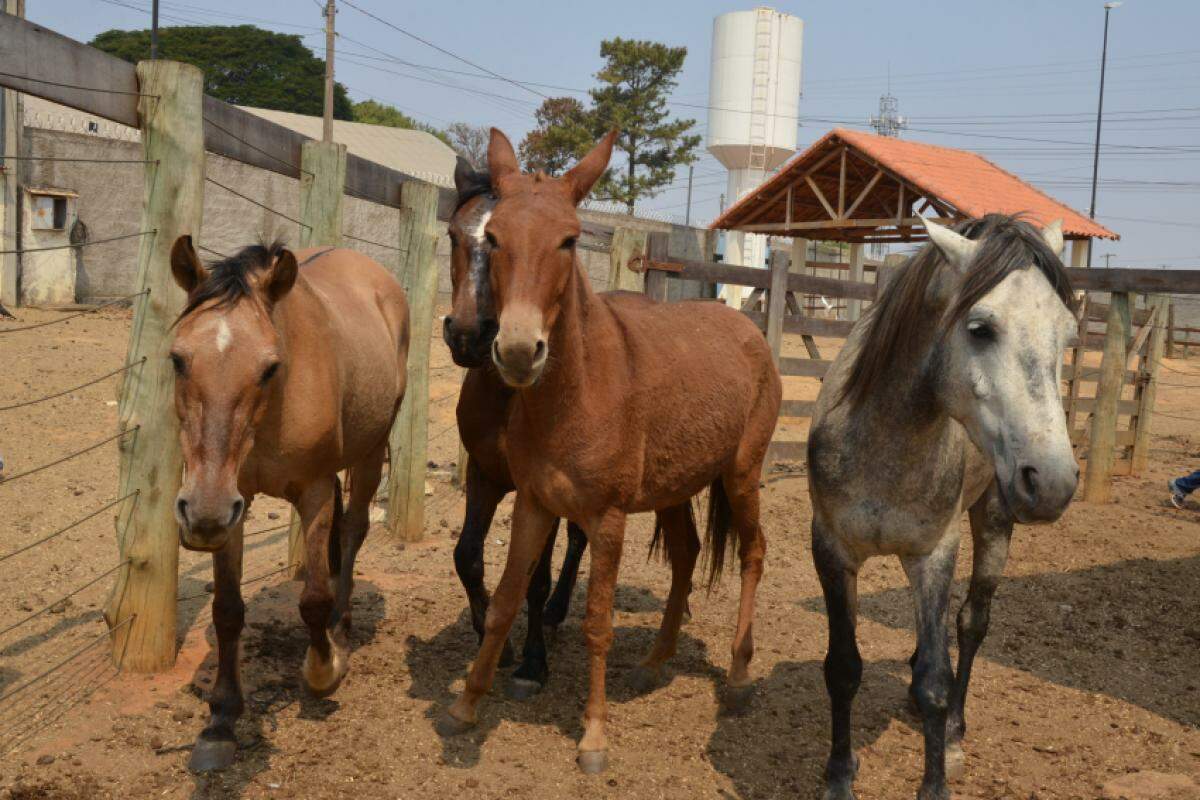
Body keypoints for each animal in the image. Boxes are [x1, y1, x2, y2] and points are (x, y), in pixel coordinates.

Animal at [164, 236, 410, 767]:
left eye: (269, 367)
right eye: (177, 359)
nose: (200, 515)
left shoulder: (311, 490)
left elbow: (313, 599)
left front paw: (324, 670)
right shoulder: (233, 502)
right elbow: (227, 610)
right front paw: (221, 718)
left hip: (370, 451)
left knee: (353, 531)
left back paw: (343, 625)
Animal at [446, 155, 700, 695]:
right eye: (457, 234)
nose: (469, 334)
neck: (509, 398)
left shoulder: (538, 489)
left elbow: (535, 578)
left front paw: (531, 663)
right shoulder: (484, 474)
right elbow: (468, 556)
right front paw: (491, 644)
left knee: (584, 543)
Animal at [806, 214, 1080, 800]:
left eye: (1068, 334)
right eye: (980, 328)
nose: (1053, 482)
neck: (883, 439)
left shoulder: (934, 553)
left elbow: (936, 679)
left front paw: (934, 779)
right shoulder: (832, 551)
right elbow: (843, 668)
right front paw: (839, 774)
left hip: (994, 520)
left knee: (971, 625)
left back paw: (953, 731)